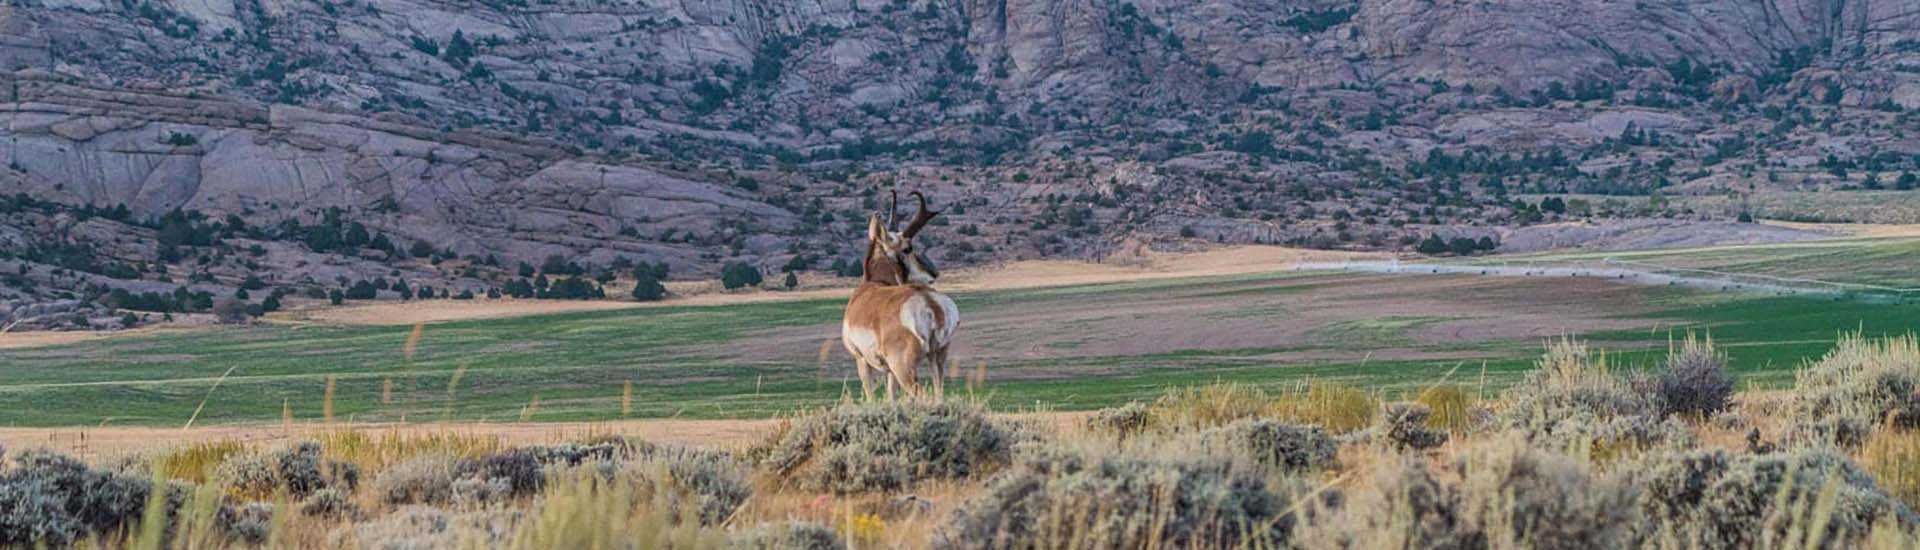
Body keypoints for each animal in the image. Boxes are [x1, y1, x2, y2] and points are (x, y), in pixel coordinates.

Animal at [842, 191, 959, 401]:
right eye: (908, 248)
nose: (934, 274)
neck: (875, 283)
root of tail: (929, 302)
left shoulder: (861, 360)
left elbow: (871, 397)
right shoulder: (889, 371)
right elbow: (892, 397)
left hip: (903, 366)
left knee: (921, 394)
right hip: (937, 358)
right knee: (938, 392)